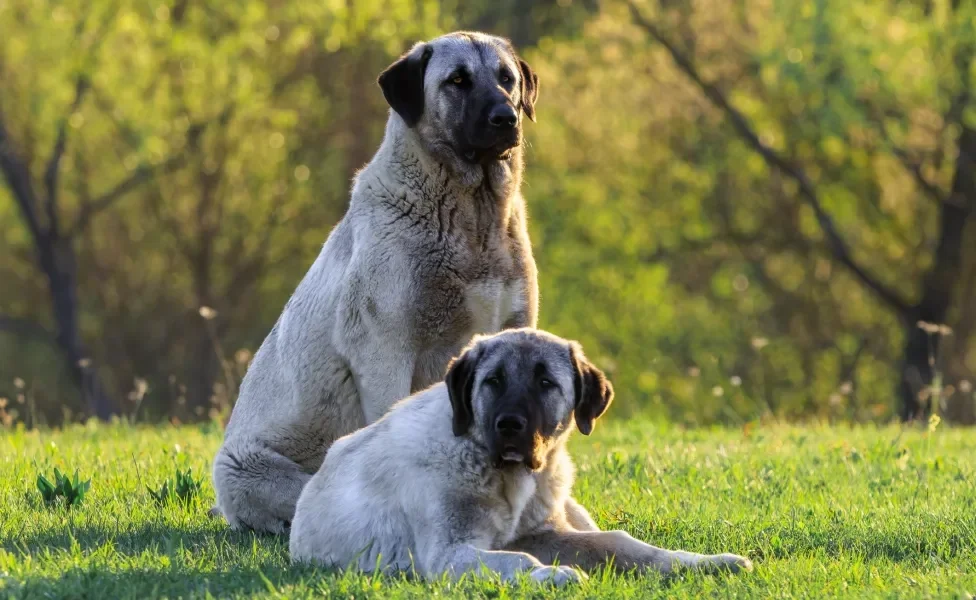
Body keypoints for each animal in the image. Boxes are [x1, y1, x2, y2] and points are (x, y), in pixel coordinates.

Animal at [290, 328, 756, 584]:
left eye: (545, 382)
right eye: (493, 381)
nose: (509, 425)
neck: (504, 476)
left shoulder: (548, 533)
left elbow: (623, 544)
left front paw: (698, 563)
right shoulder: (450, 554)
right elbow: (516, 560)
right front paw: (549, 575)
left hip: (571, 506)